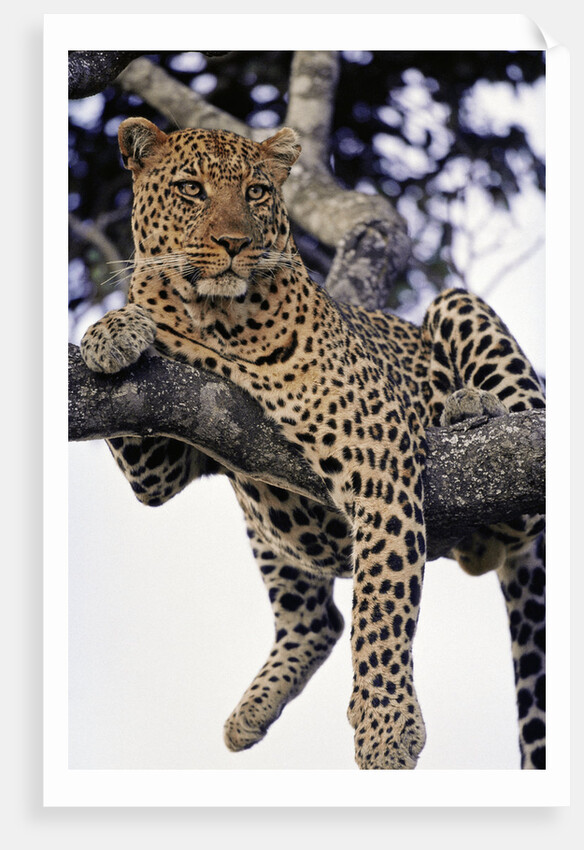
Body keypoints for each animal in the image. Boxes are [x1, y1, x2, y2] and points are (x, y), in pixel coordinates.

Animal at [79, 117, 546, 769]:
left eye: (254, 192)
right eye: (191, 189)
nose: (232, 243)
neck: (216, 322)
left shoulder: (379, 463)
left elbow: (382, 604)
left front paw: (387, 728)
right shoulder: (158, 457)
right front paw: (114, 328)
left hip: (458, 307)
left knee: (526, 445)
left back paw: (471, 407)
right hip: (265, 522)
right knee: (317, 619)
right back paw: (249, 715)